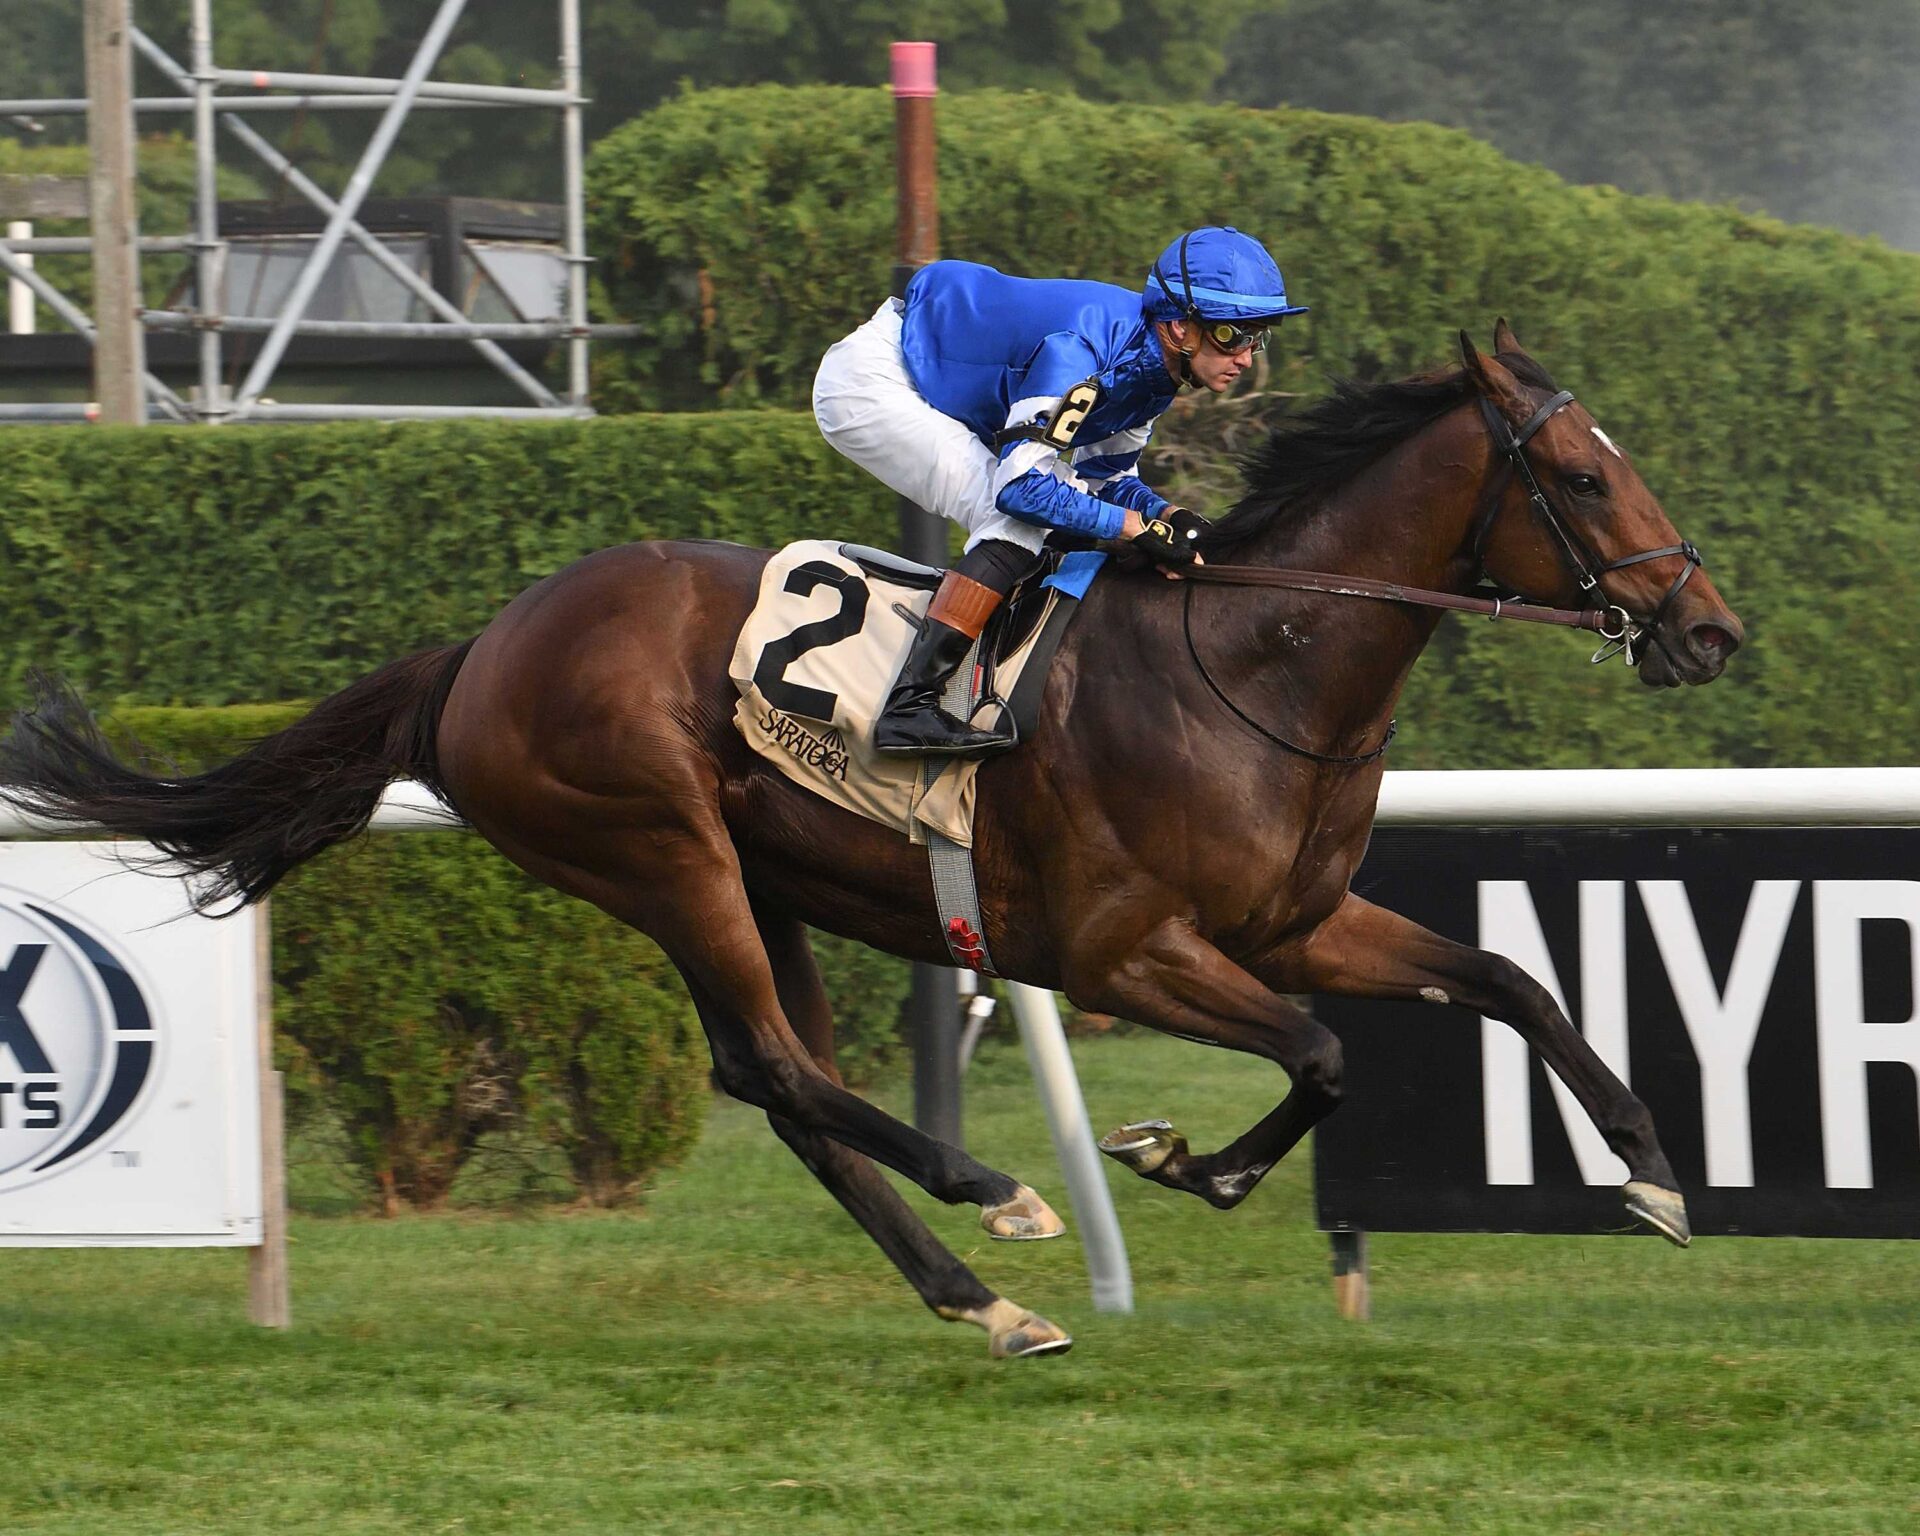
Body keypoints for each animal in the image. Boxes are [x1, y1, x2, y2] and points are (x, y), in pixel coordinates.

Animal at [0, 324, 1743, 1359]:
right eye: (1581, 476)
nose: (1710, 631)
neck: (1258, 665)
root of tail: (477, 651)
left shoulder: (1297, 922)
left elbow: (1507, 985)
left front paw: (1655, 1177)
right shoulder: (1123, 951)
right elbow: (1318, 1054)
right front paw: (1183, 1161)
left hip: (758, 880)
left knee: (779, 1084)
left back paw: (987, 1299)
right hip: (659, 849)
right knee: (779, 1066)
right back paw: (999, 1197)